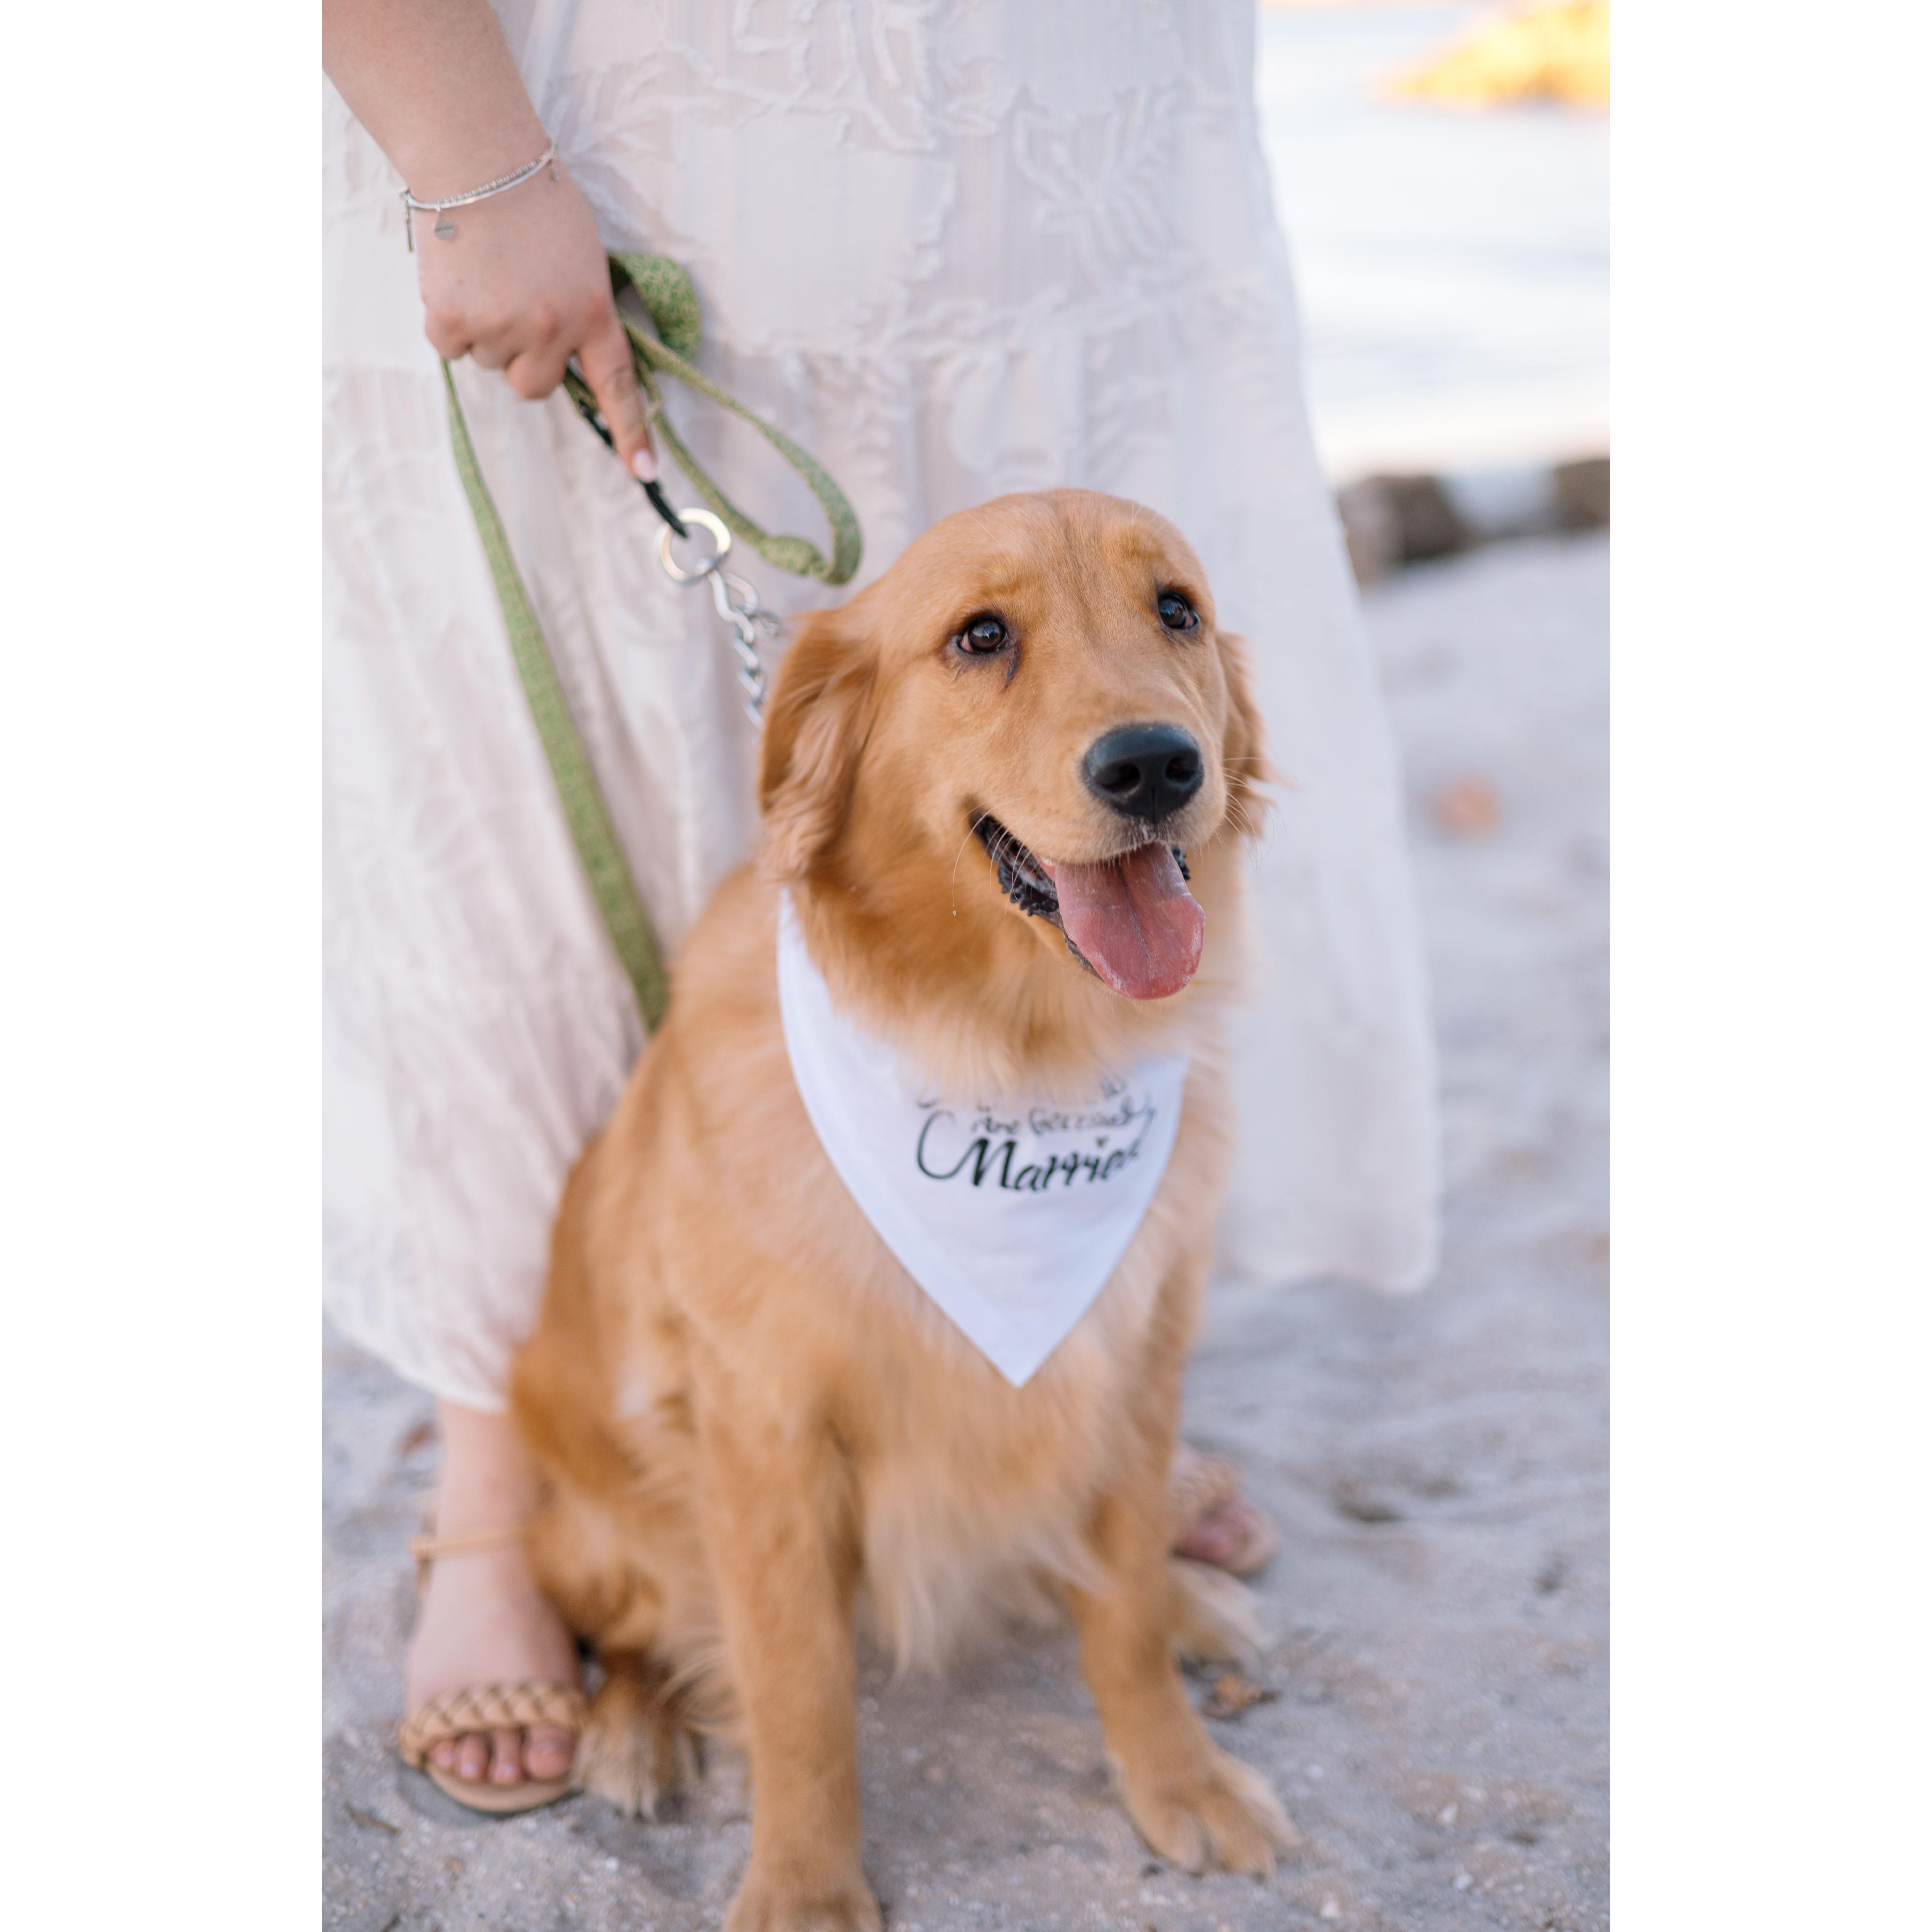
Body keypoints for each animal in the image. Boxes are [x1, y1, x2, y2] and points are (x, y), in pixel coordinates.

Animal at [510, 487, 1297, 1930]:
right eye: (979, 636)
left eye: (1176, 611)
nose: (1154, 766)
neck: (1014, 1061)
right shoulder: (762, 1428)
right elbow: (796, 1684)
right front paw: (805, 1885)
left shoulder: (1133, 1365)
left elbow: (1122, 1613)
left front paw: (1179, 1774)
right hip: (598, 1500)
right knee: (633, 1625)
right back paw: (628, 1734)